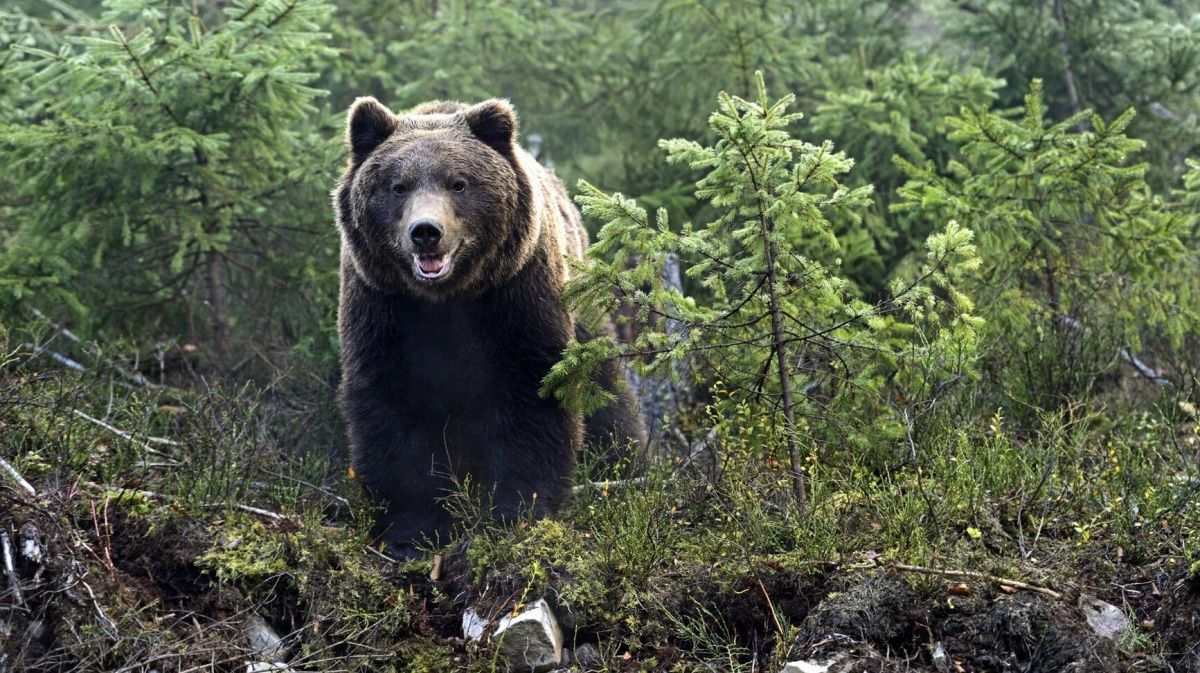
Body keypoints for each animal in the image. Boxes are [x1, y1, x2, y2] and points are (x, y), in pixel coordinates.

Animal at [333, 95, 643, 556]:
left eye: (458, 183)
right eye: (398, 185)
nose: (426, 232)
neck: (446, 298)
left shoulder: (515, 296)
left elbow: (532, 394)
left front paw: (518, 512)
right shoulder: (383, 309)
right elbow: (392, 410)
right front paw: (412, 531)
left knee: (606, 394)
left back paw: (626, 464)